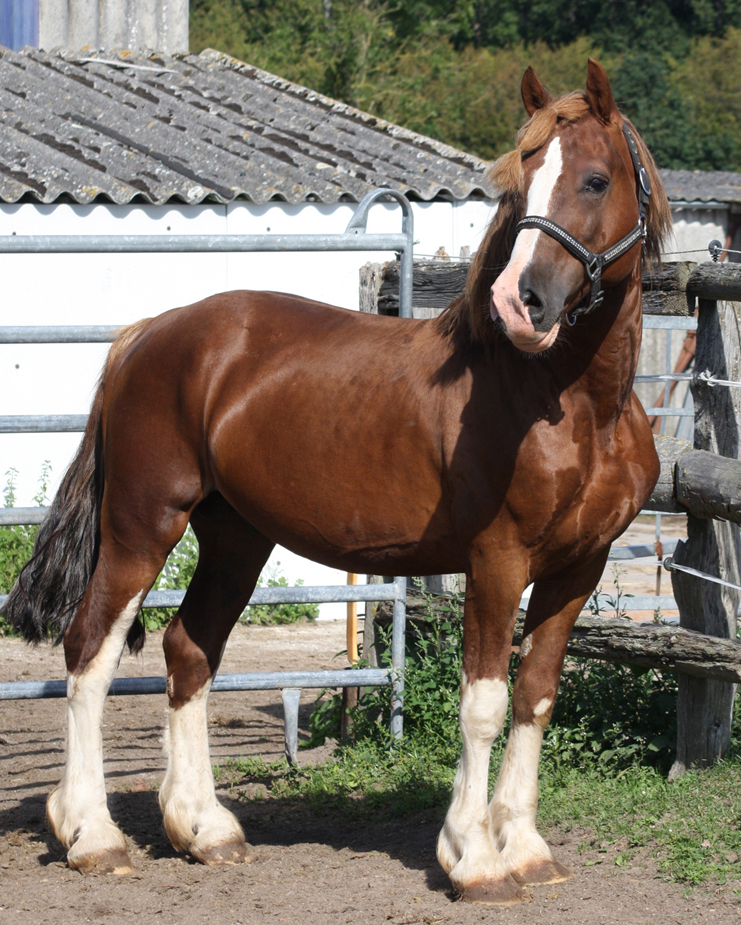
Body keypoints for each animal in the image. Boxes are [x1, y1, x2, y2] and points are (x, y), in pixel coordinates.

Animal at [3, 59, 670, 904]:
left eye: (592, 179)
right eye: (521, 181)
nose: (519, 303)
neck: (571, 403)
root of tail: (147, 335)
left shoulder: (576, 567)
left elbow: (536, 694)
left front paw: (523, 848)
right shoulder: (496, 561)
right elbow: (483, 703)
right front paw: (474, 859)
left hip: (235, 537)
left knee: (190, 648)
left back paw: (202, 828)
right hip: (142, 524)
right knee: (91, 648)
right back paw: (92, 834)